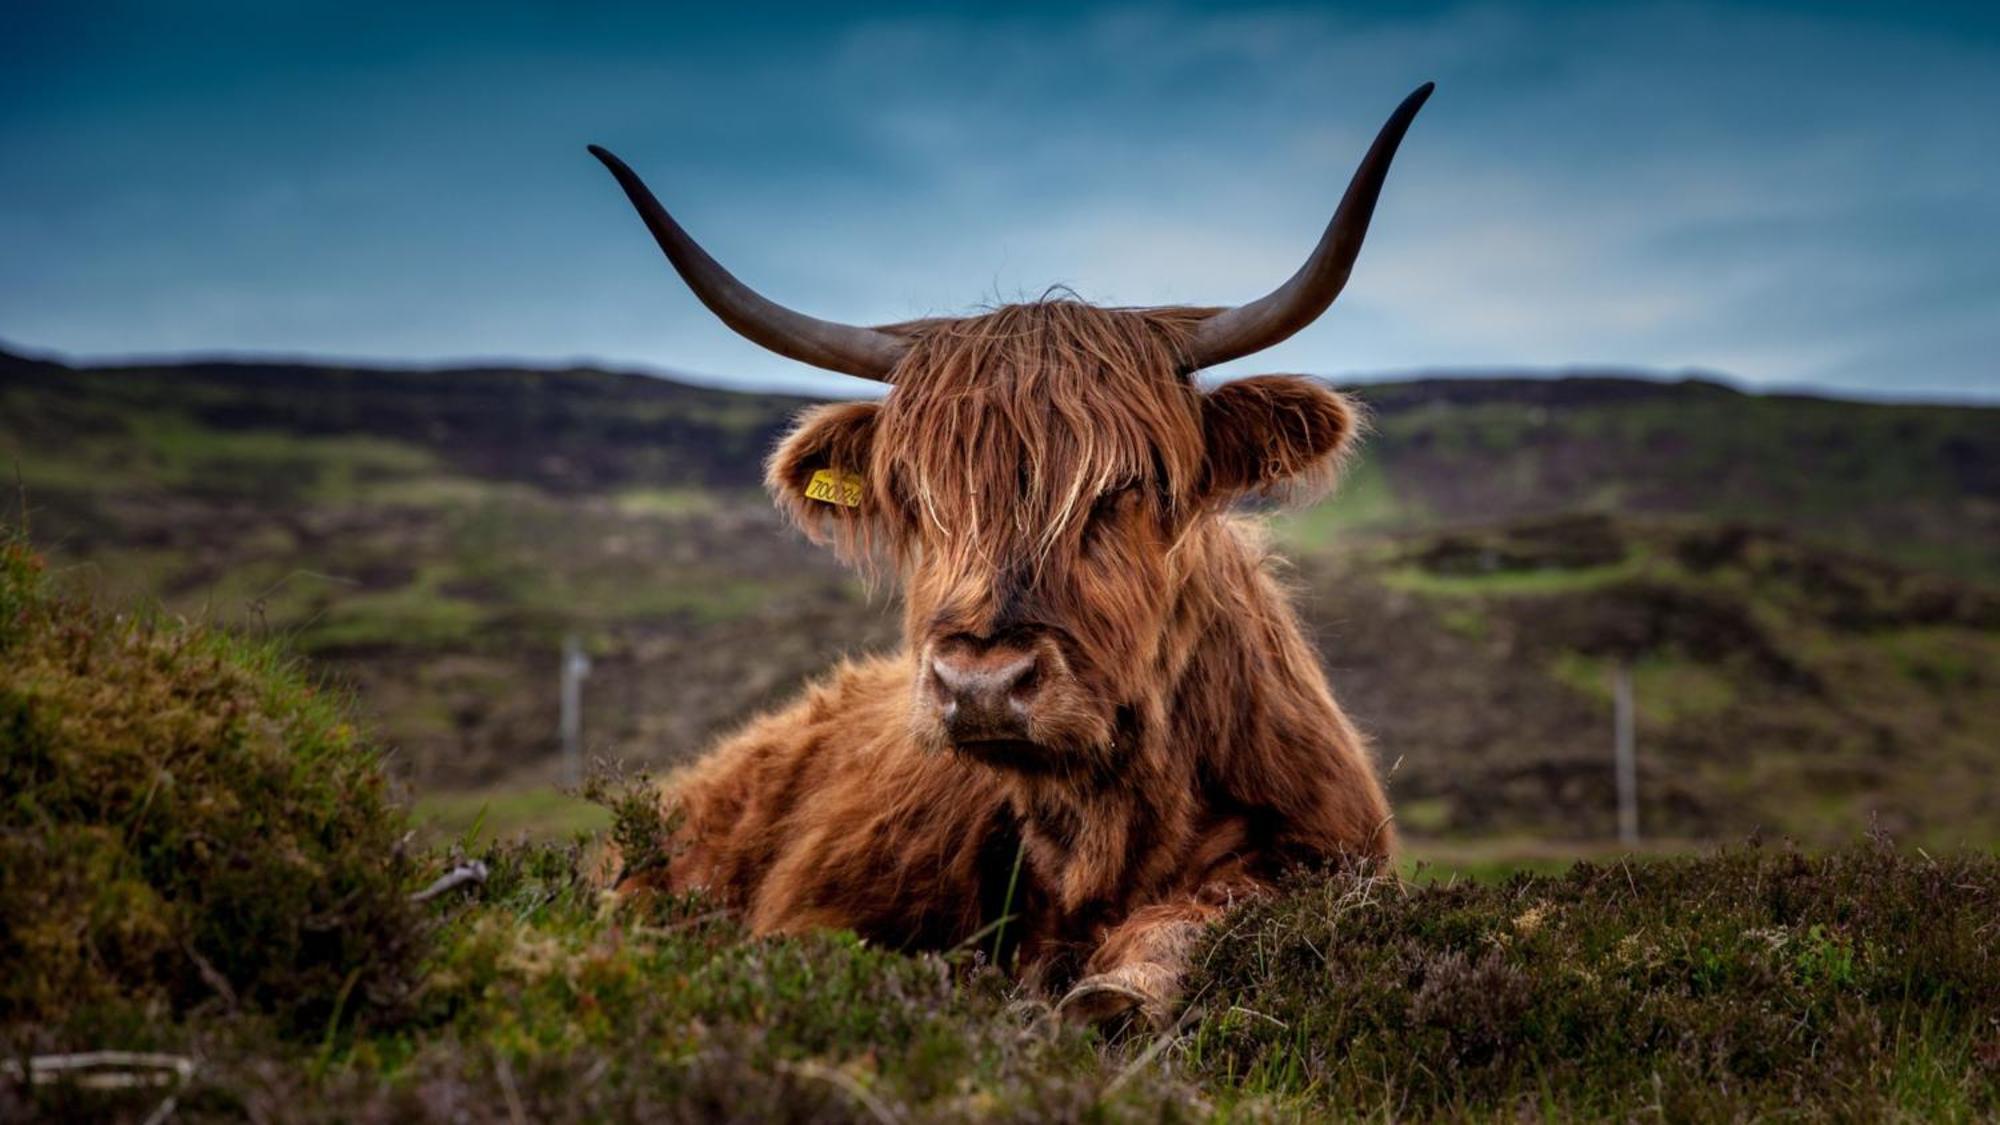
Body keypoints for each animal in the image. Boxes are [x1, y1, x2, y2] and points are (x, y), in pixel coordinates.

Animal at [584, 83, 1432, 1020]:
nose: (981, 683)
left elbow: (1206, 916)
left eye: (1127, 486)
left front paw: (1115, 992)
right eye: (916, 496)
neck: (1102, 831)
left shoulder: (1324, 856)